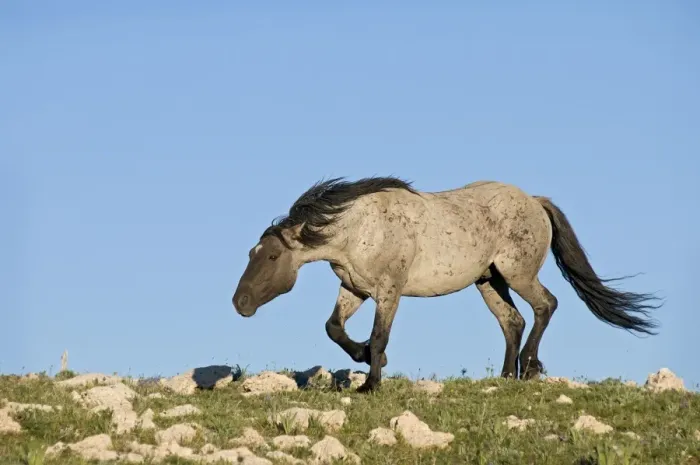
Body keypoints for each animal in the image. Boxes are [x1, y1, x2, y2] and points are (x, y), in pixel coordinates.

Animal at [232, 176, 661, 393]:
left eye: (272, 257)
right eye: (252, 253)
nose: (240, 302)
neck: (359, 227)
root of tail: (536, 201)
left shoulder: (388, 291)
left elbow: (380, 334)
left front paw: (371, 381)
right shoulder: (354, 288)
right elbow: (334, 328)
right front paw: (365, 358)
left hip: (518, 273)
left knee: (545, 306)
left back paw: (529, 368)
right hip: (489, 281)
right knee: (513, 321)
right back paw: (506, 377)